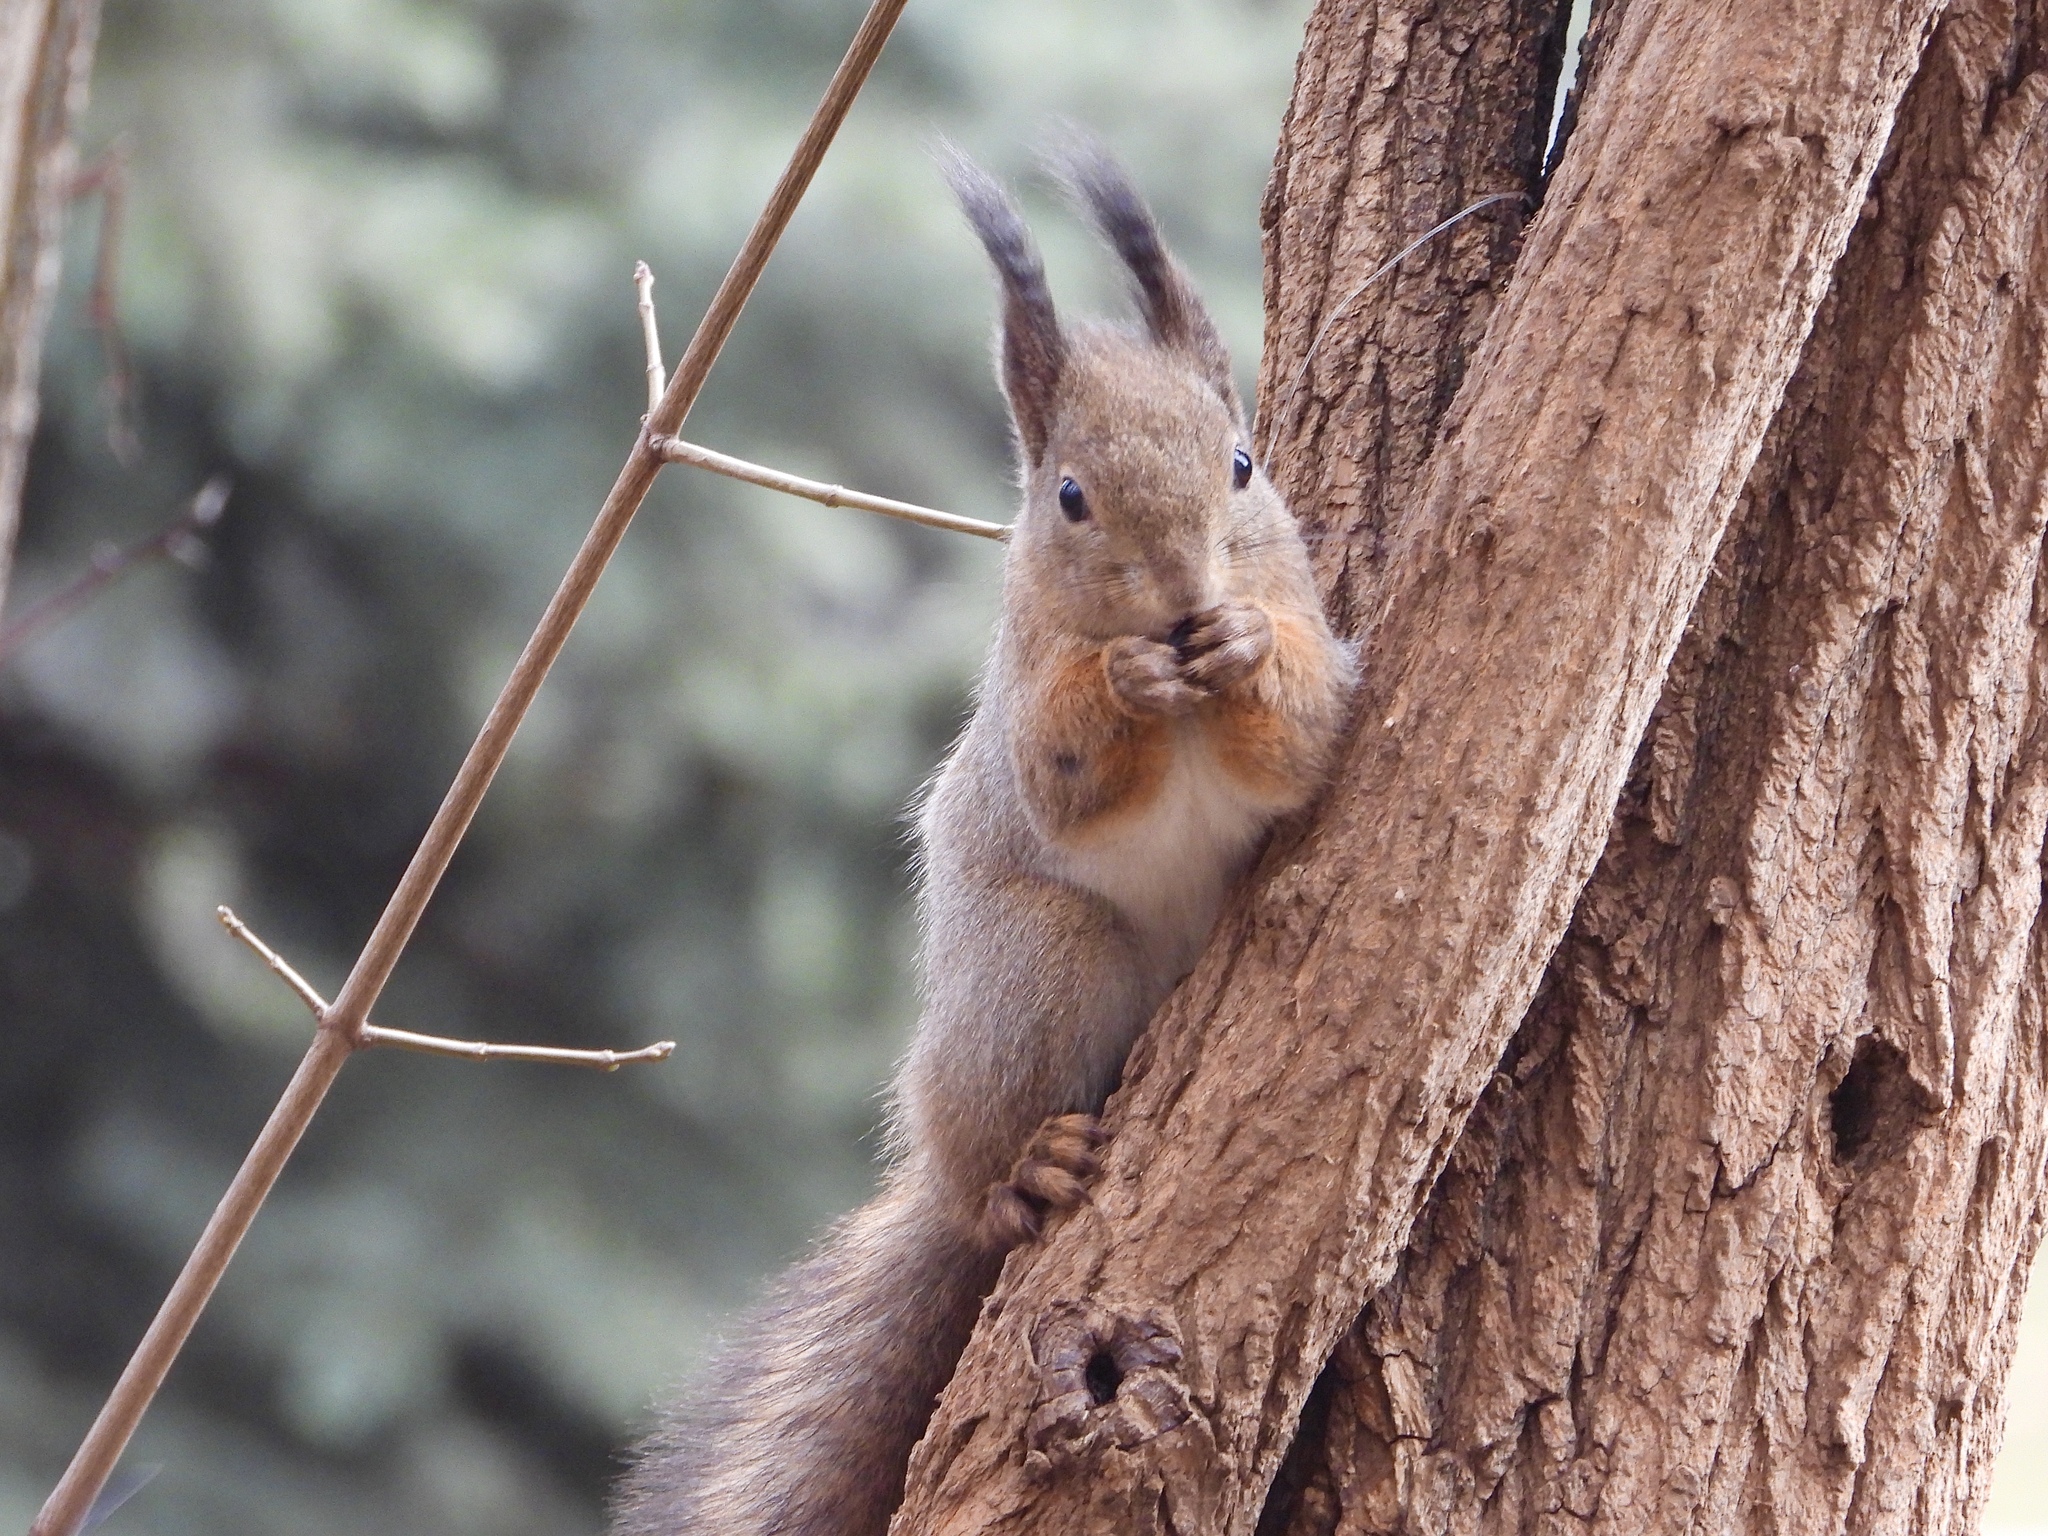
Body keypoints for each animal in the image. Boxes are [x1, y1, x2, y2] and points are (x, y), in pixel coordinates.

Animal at [614, 144, 1351, 1536]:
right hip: (1040, 965)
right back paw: (1023, 1174)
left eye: (1242, 464)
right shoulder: (1023, 719)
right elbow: (1061, 778)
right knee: (987, 1160)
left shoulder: (1321, 661)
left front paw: (1237, 652)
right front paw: (1125, 682)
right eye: (1068, 497)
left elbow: (1299, 739)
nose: (1185, 599)